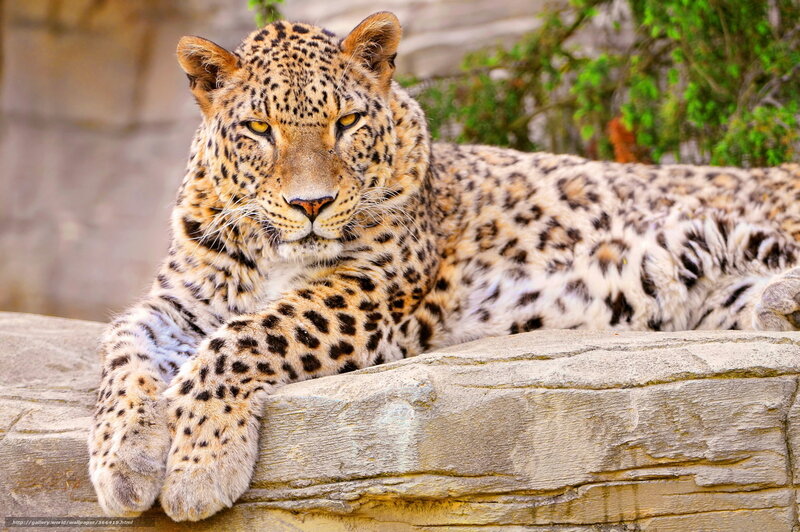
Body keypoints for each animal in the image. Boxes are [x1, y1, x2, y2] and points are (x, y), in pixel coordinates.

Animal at [88, 11, 800, 522]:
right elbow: (121, 347)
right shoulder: (180, 300)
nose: (311, 204)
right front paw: (125, 457)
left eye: (347, 122)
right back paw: (778, 307)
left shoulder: (370, 288)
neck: (271, 253)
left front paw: (197, 465)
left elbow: (247, 336)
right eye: (260, 129)